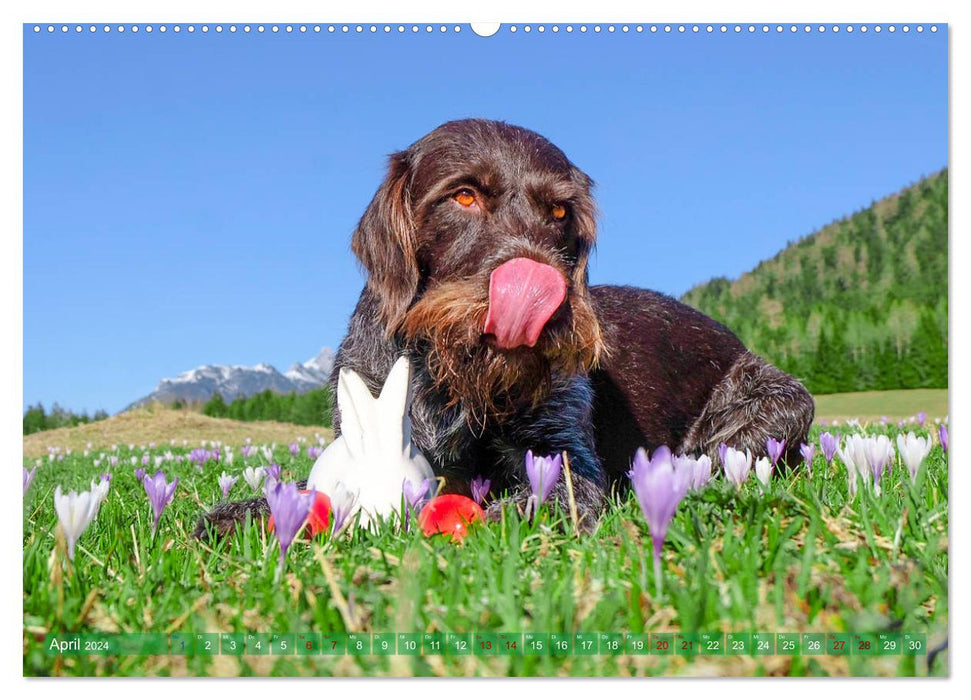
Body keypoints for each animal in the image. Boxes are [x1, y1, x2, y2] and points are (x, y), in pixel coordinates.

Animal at [192, 119, 812, 536]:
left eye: (560, 212)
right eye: (464, 195)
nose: (542, 294)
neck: (451, 379)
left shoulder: (566, 459)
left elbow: (537, 498)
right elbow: (294, 490)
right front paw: (236, 515)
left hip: (778, 405)